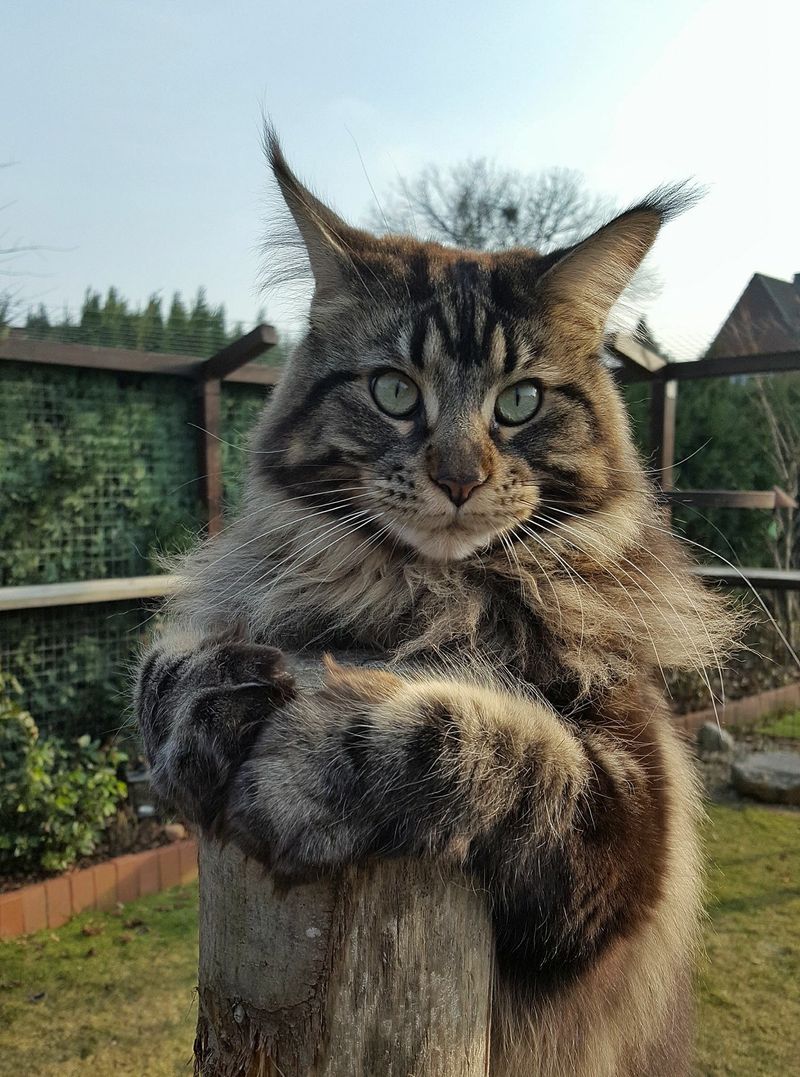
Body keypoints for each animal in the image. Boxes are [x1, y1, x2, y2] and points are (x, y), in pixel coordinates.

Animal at [136, 134, 732, 1077]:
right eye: (394, 391)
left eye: (519, 401)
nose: (459, 478)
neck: (425, 598)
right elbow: (162, 666)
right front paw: (208, 707)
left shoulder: (632, 819)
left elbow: (479, 738)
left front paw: (302, 766)